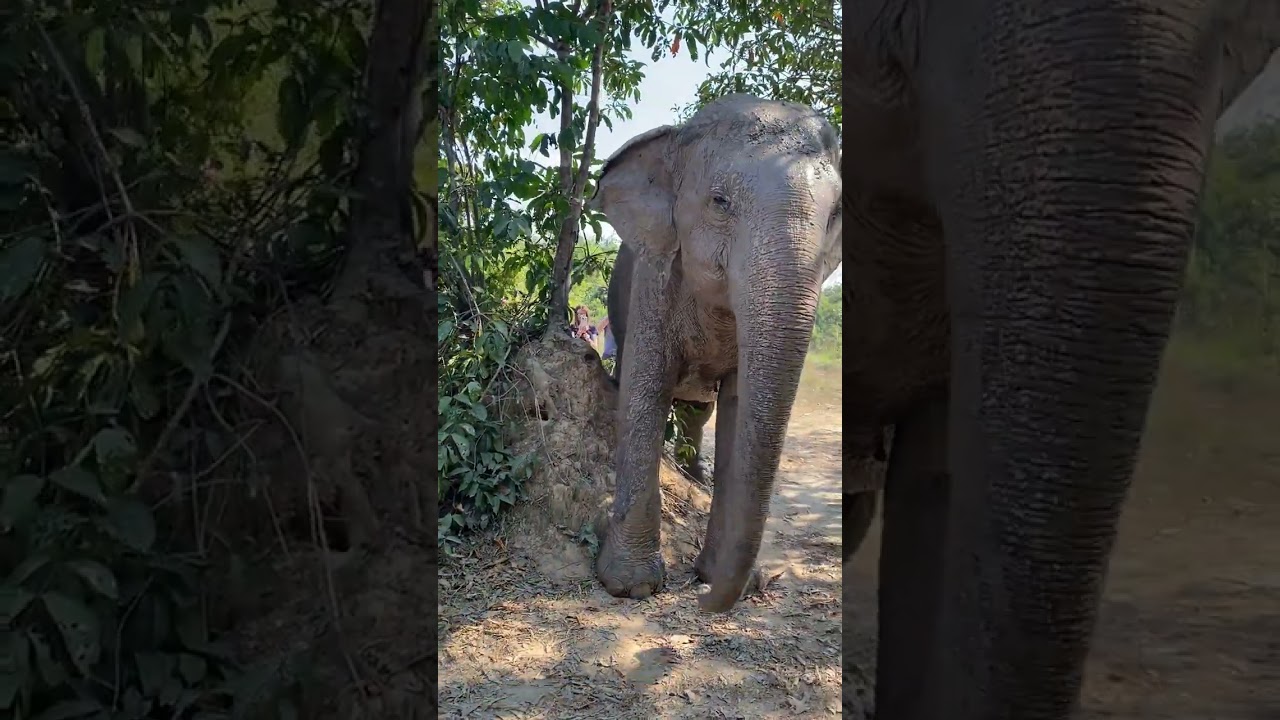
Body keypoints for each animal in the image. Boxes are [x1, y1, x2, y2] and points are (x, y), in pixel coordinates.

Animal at [588, 95, 843, 610]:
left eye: (836, 215)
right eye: (720, 202)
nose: (704, 596)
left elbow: (740, 407)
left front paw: (723, 575)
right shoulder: (653, 279)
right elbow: (644, 391)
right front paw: (630, 586)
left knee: (698, 412)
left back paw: (698, 474)